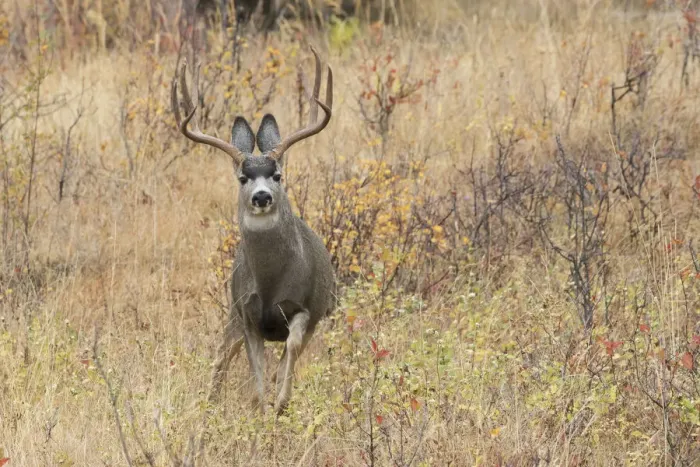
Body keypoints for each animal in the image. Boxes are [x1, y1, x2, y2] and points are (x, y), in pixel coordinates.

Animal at [171, 46, 336, 415]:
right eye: (243, 178)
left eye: (277, 175)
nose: (262, 196)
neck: (272, 282)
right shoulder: (247, 313)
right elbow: (252, 375)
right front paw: (261, 408)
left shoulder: (305, 308)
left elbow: (289, 353)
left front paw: (281, 403)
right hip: (231, 312)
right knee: (220, 358)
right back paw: (210, 404)